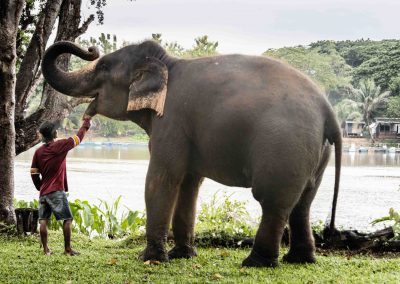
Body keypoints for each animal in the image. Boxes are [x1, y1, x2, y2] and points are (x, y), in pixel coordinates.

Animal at [40, 40, 342, 268]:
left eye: (103, 66)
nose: (91, 49)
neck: (167, 64)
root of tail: (328, 110)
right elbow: (188, 184)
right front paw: (181, 255)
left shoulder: (172, 121)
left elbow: (162, 179)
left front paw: (150, 259)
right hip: (315, 151)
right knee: (303, 202)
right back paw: (300, 260)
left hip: (284, 145)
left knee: (273, 201)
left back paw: (256, 263)